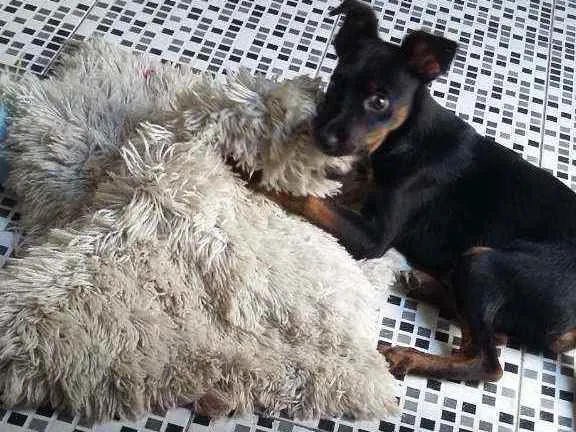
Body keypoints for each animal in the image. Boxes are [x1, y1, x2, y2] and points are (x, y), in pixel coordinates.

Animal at [266, 0, 576, 382]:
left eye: (379, 101)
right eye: (337, 82)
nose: (322, 136)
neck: (403, 138)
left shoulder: (373, 238)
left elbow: (307, 198)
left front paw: (257, 173)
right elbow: (333, 193)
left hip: (484, 263)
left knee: (488, 363)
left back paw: (409, 355)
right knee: (491, 334)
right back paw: (427, 285)